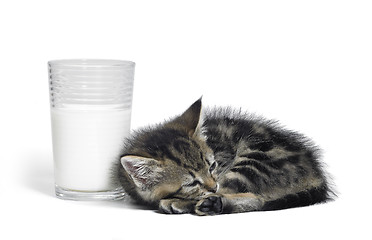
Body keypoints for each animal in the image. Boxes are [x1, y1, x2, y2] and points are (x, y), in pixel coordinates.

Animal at [113, 98, 334, 215]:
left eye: (212, 166)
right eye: (191, 183)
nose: (213, 186)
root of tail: (316, 172)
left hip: (253, 160)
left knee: (256, 198)